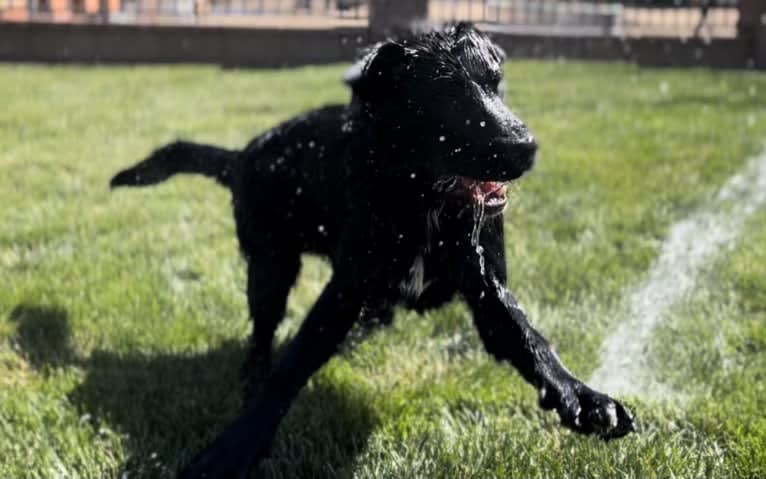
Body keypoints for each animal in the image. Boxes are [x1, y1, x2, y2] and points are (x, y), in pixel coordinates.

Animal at [109, 24, 636, 479]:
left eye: (496, 82)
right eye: (447, 95)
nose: (526, 147)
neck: (422, 200)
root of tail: (242, 154)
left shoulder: (487, 284)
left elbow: (531, 340)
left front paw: (584, 397)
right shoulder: (346, 286)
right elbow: (293, 365)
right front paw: (234, 448)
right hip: (270, 266)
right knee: (262, 338)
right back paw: (256, 375)